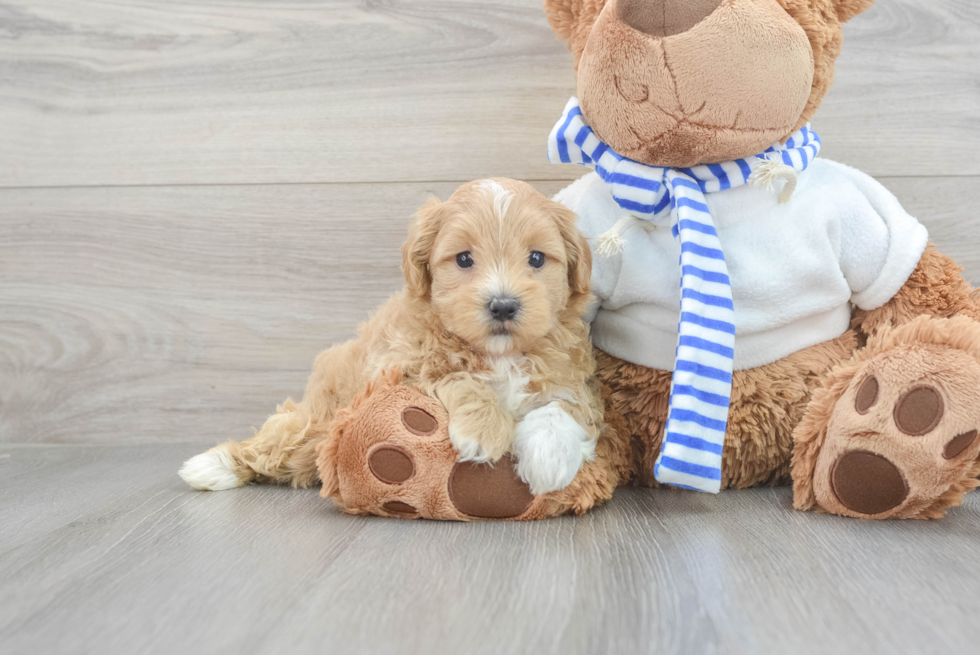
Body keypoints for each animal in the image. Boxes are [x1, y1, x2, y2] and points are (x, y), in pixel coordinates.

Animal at [179, 179, 600, 498]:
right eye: (464, 259)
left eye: (537, 258)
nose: (502, 305)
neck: (499, 354)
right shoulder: (398, 368)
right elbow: (455, 374)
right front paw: (483, 429)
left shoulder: (571, 375)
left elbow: (564, 404)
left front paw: (549, 457)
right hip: (318, 420)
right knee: (281, 439)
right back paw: (211, 465)